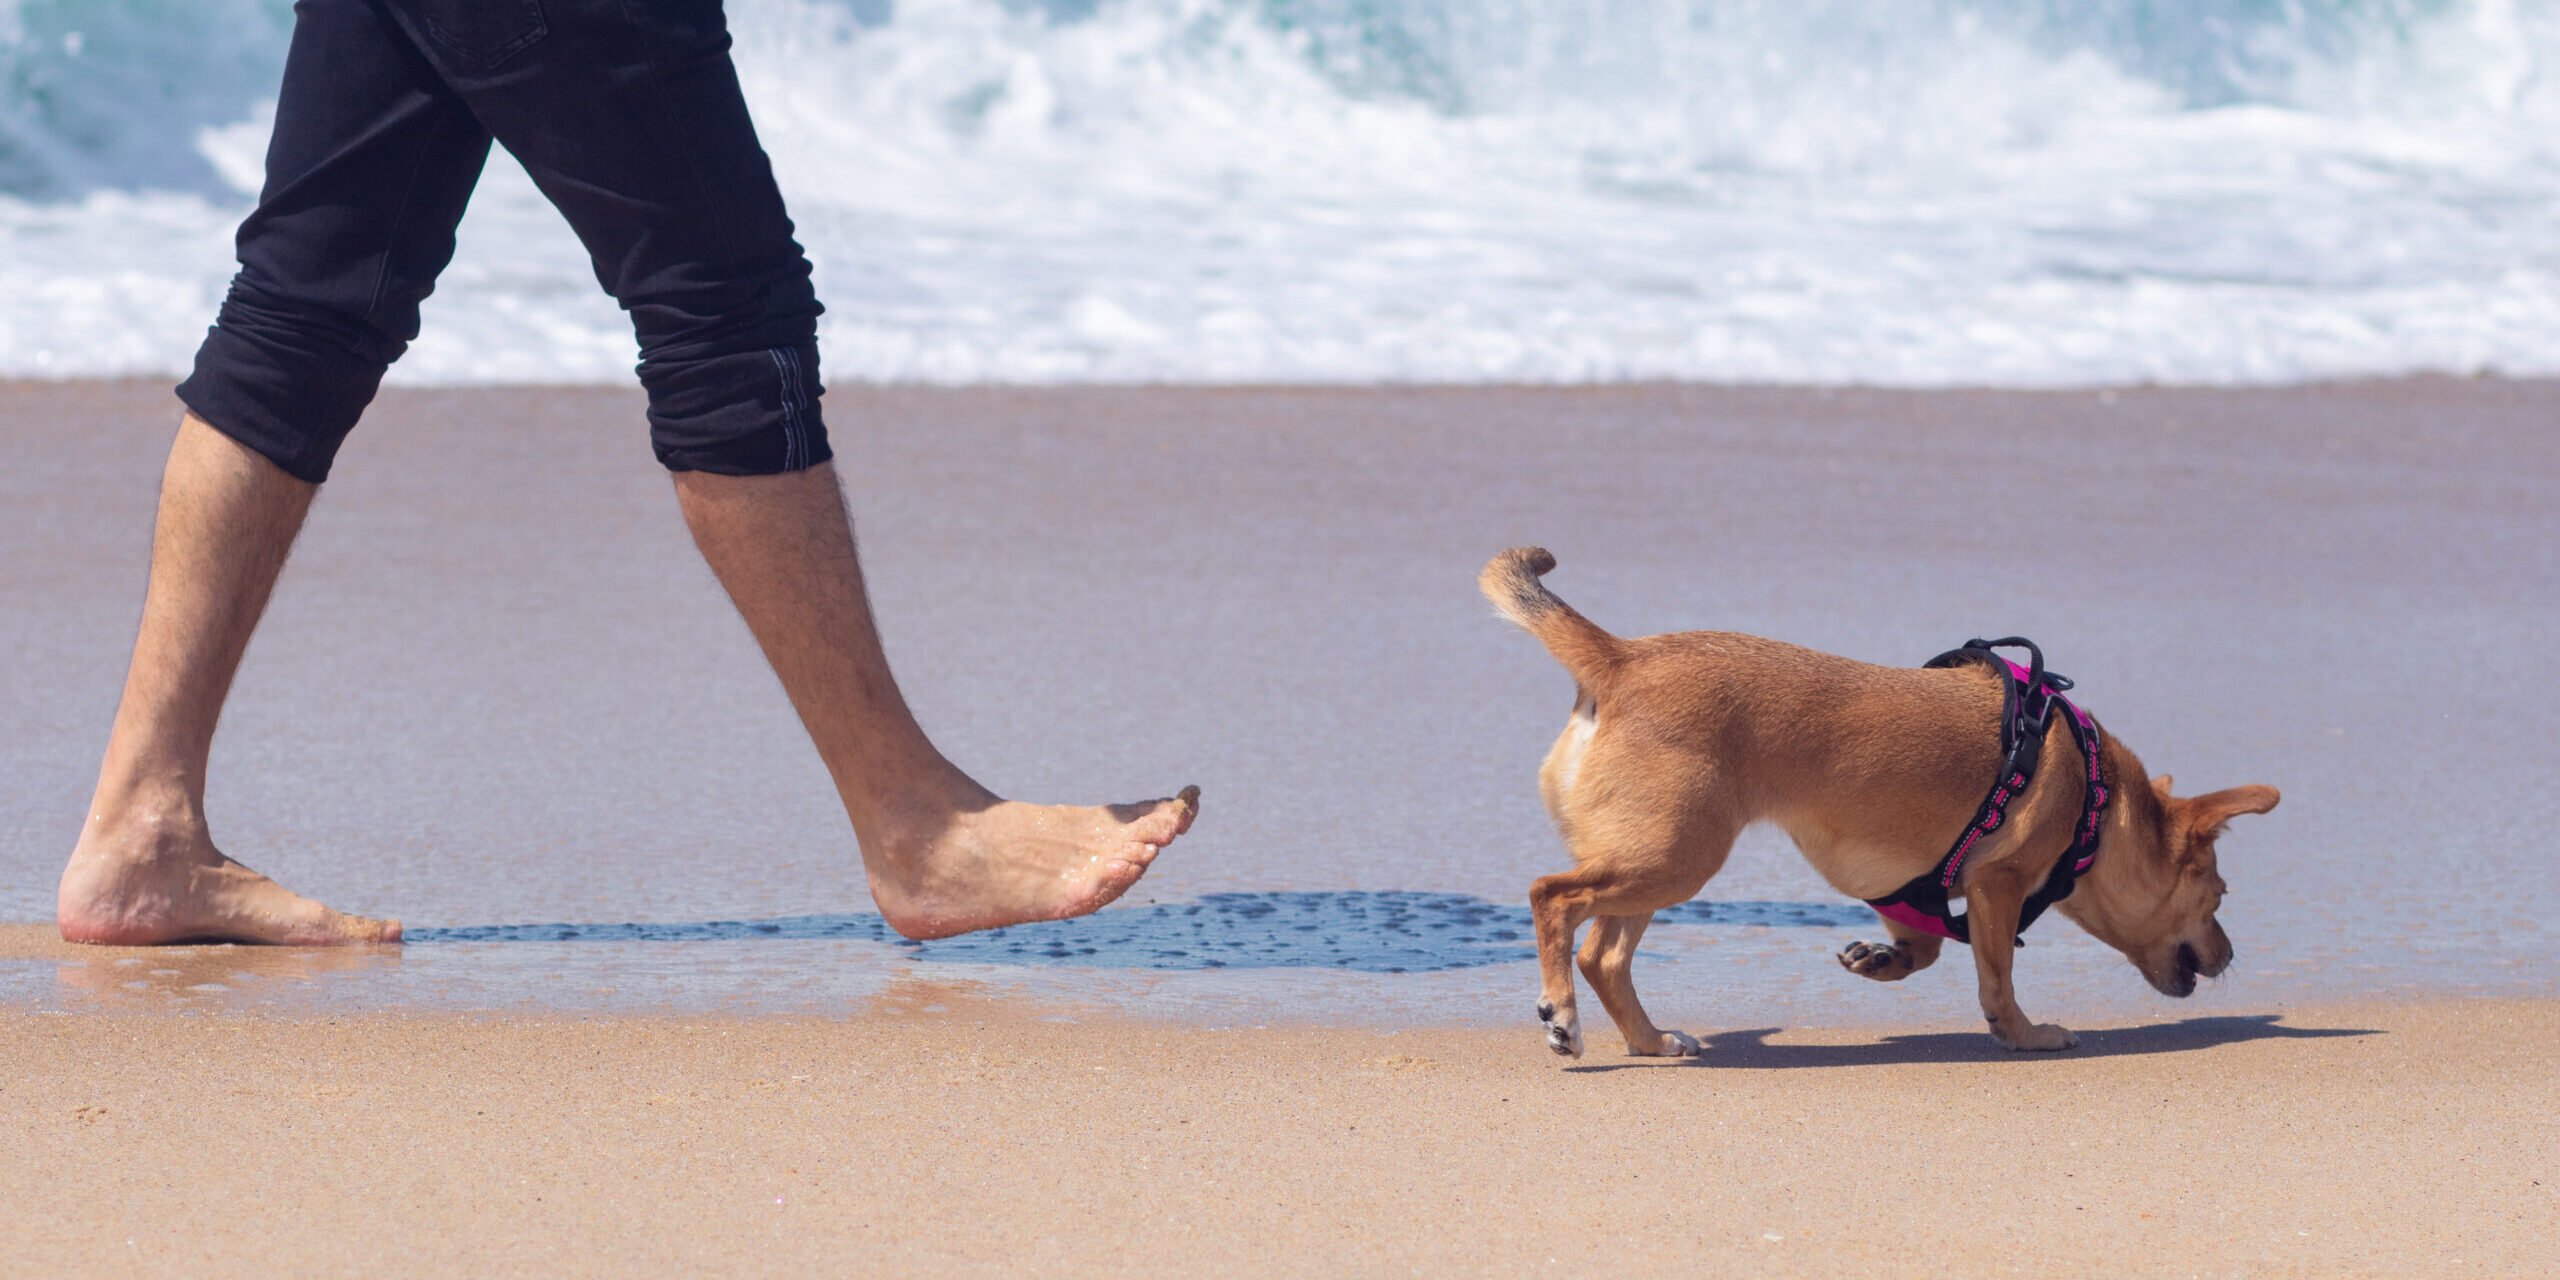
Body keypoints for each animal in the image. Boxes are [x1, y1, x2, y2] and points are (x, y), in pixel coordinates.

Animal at [1484, 550, 2283, 1059]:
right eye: (2218, 897)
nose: (2230, 954)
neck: (2097, 802)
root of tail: (1620, 658)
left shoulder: (1908, 888)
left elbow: (1925, 947)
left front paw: (1882, 961)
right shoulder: (1996, 887)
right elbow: (1998, 977)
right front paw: (2024, 1035)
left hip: (1655, 858)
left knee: (1604, 955)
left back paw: (1648, 1042)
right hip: (1672, 858)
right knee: (1554, 898)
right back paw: (1563, 1015)